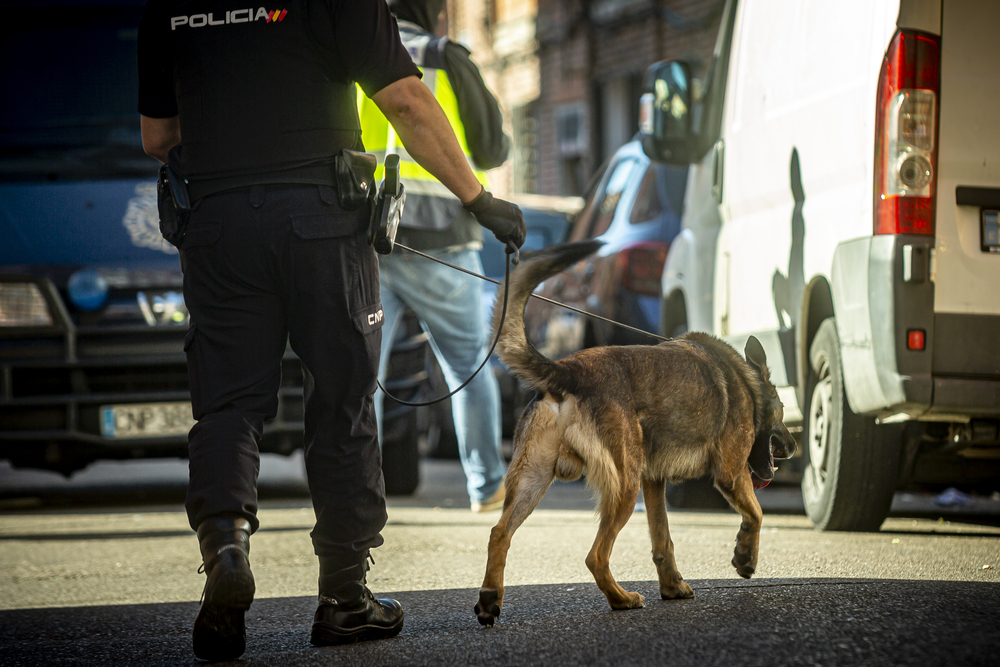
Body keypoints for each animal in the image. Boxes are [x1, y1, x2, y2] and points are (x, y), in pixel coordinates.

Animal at [476, 241, 796, 628]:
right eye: (782, 413)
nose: (794, 446)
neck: (746, 384)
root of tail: (569, 370)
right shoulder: (731, 475)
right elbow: (756, 513)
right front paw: (745, 558)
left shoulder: (654, 482)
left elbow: (663, 540)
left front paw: (672, 587)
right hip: (624, 489)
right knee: (595, 556)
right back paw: (621, 599)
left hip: (534, 480)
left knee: (499, 534)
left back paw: (490, 599)